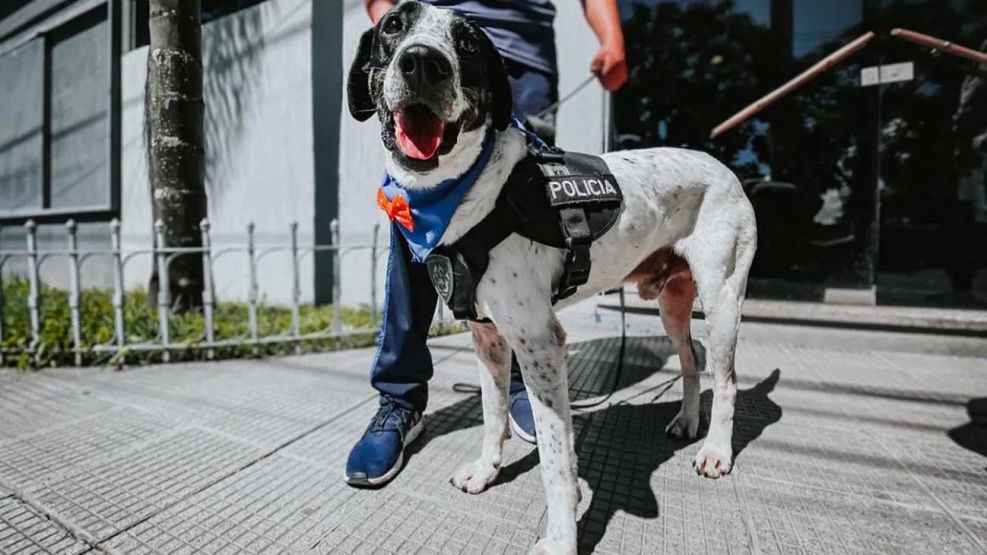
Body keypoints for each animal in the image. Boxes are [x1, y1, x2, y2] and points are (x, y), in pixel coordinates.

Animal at [352, 3, 760, 552]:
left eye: (468, 42)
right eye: (393, 25)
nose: (422, 62)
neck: (460, 193)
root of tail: (722, 165)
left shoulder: (540, 343)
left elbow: (556, 460)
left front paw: (562, 537)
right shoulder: (488, 338)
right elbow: (492, 416)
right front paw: (486, 470)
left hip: (721, 300)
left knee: (728, 380)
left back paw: (716, 449)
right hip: (672, 303)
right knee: (691, 358)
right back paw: (688, 420)